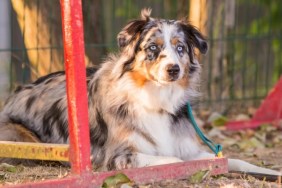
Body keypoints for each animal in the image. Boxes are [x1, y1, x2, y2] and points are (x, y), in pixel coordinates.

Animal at [0, 8, 280, 176]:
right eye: (152, 47)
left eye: (180, 48)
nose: (173, 69)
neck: (157, 98)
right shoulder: (119, 156)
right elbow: (176, 161)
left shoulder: (186, 147)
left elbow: (229, 158)